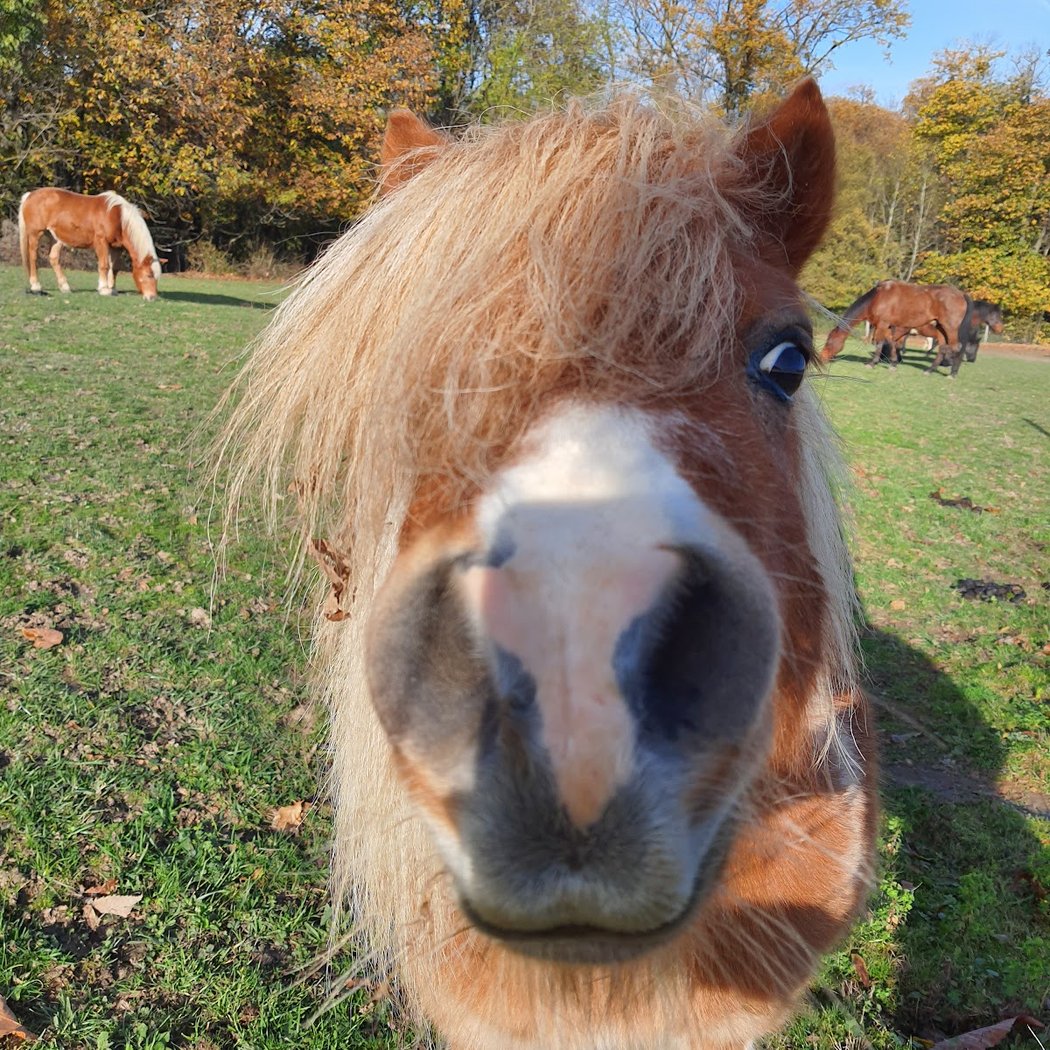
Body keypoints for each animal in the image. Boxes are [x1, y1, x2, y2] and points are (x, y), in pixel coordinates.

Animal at [18, 188, 163, 300]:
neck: (118, 217)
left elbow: (114, 268)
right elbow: (104, 265)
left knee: (53, 258)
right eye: (149, 275)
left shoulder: (116, 248)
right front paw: (104, 289)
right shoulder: (101, 242)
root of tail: (29, 195)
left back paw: (65, 287)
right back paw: (36, 286)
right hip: (35, 234)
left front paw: (112, 288)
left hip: (55, 238)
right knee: (33, 258)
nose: (152, 297)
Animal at [821, 279, 969, 370]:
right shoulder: (887, 326)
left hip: (950, 328)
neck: (877, 298)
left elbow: (879, 343)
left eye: (829, 342)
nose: (822, 358)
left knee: (955, 347)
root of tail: (961, 295)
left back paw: (951, 371)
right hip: (941, 328)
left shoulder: (882, 325)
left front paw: (872, 363)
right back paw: (931, 369)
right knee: (943, 346)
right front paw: (893, 363)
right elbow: (891, 342)